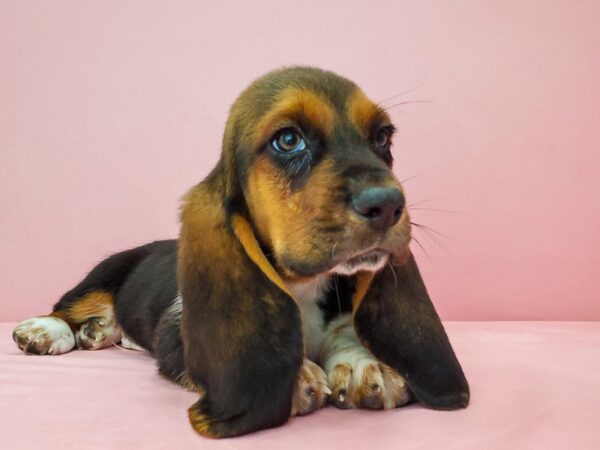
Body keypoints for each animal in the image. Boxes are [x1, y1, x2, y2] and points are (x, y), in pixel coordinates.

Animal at [10, 66, 468, 436]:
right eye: (288, 140)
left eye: (382, 137)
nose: (388, 205)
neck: (303, 285)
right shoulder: (177, 338)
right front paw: (296, 375)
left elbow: (344, 331)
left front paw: (361, 363)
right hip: (101, 274)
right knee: (67, 307)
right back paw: (46, 330)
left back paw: (98, 332)